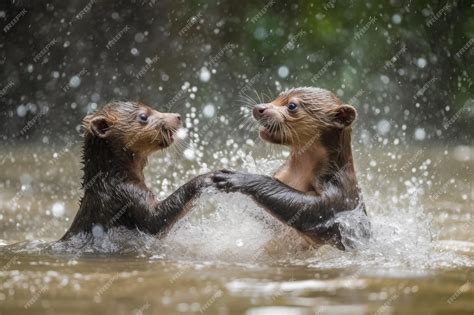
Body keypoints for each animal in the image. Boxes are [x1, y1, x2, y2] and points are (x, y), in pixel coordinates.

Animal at [60, 101, 211, 242]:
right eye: (143, 116)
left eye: (151, 108)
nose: (177, 116)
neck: (112, 180)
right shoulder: (126, 196)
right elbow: (155, 221)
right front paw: (208, 178)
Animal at [212, 87, 370, 251]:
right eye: (277, 97)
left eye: (292, 106)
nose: (259, 108)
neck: (297, 174)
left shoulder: (338, 194)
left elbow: (307, 209)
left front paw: (239, 178)